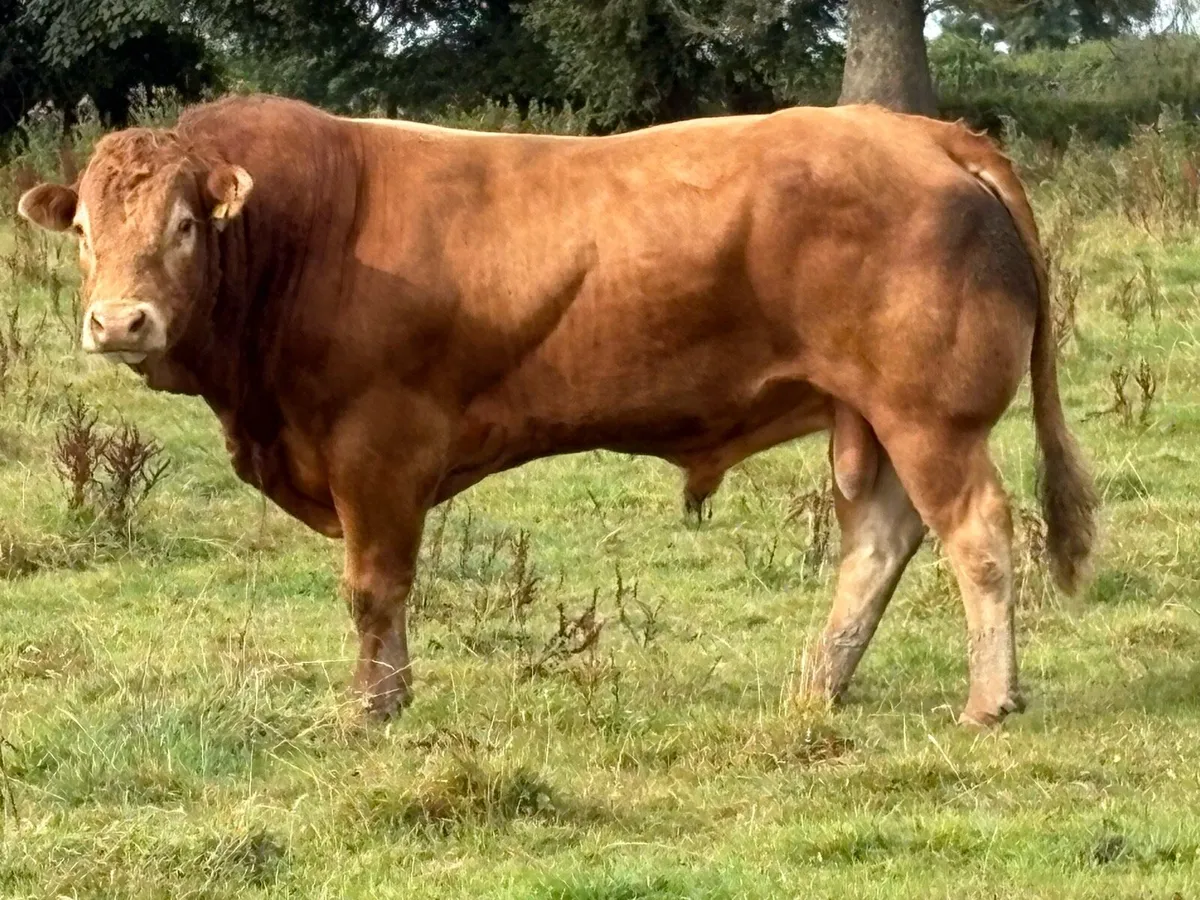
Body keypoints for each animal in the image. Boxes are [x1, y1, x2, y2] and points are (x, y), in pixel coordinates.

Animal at [17, 94, 1097, 727]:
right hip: (870, 413)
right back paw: (817, 685)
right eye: (84, 230)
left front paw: (375, 706)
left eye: (185, 225)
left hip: (930, 416)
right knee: (879, 538)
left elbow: (374, 586)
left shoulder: (379, 446)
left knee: (979, 536)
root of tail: (922, 131)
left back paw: (989, 700)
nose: (119, 320)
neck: (308, 230)